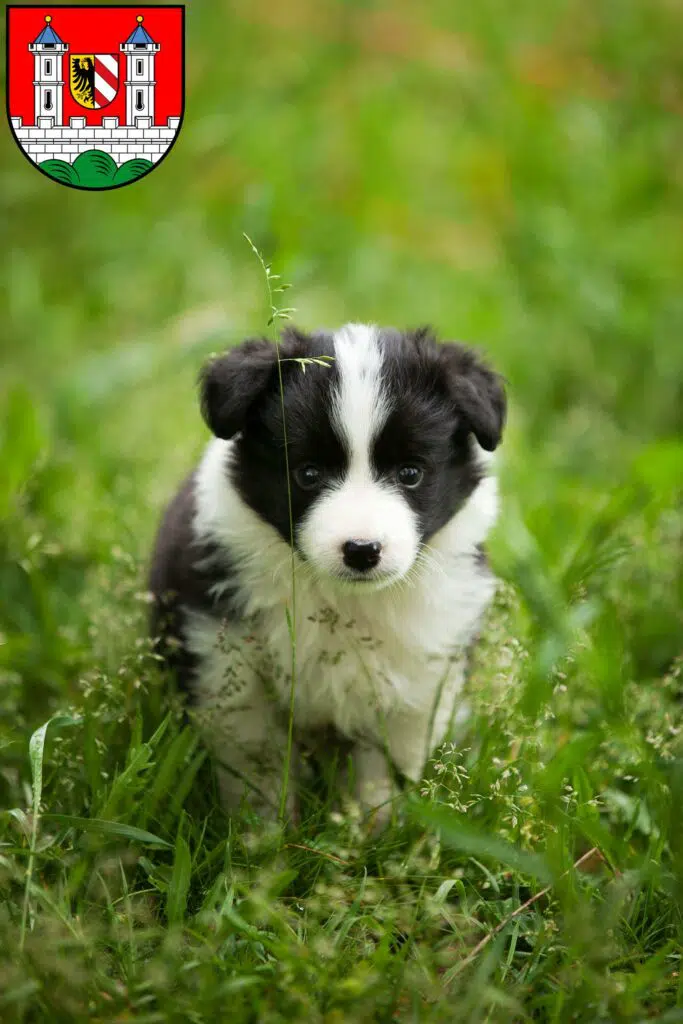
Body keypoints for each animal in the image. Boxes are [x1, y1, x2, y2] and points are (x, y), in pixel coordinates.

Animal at [149, 323, 505, 827]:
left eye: (411, 473)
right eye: (308, 473)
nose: (361, 550)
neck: (341, 599)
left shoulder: (421, 666)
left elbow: (386, 759)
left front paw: (373, 826)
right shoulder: (226, 659)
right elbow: (256, 760)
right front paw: (263, 834)